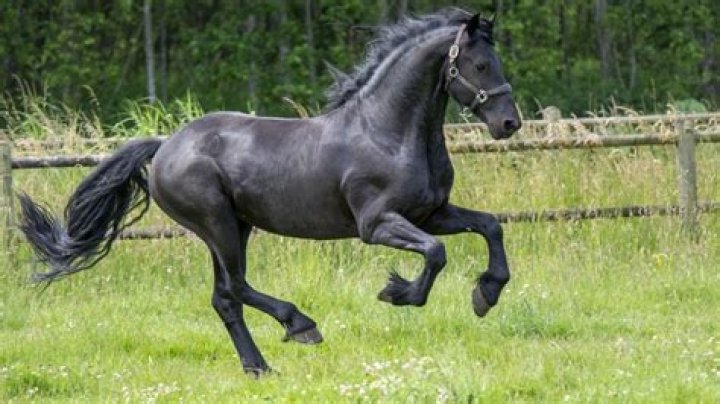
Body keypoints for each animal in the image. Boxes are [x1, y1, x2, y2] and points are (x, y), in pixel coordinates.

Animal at [18, 9, 521, 375]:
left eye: (496, 62)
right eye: (479, 65)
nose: (509, 123)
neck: (387, 132)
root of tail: (165, 146)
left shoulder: (432, 212)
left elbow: (490, 227)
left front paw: (486, 294)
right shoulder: (377, 224)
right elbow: (436, 253)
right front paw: (398, 293)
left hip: (235, 227)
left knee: (225, 297)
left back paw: (259, 367)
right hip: (218, 224)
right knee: (236, 288)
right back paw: (300, 326)